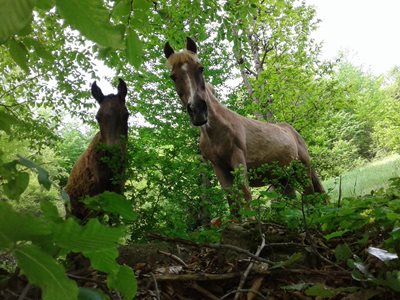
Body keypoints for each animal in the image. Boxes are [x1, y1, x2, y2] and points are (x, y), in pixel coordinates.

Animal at [65, 78, 129, 220]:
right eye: (98, 117)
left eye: (126, 115)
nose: (112, 152)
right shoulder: (94, 201)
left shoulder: (117, 196)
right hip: (72, 212)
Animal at [164, 37, 324, 214]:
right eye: (173, 76)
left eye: (200, 69)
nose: (198, 110)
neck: (216, 131)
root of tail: (293, 132)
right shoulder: (219, 168)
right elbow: (232, 200)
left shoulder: (238, 159)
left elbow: (245, 194)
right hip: (283, 177)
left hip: (303, 170)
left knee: (311, 196)